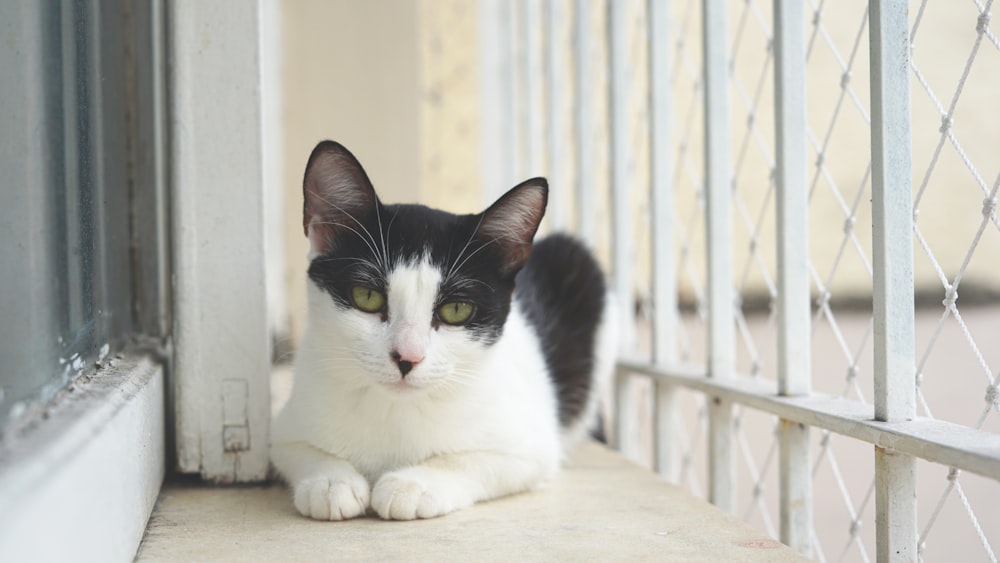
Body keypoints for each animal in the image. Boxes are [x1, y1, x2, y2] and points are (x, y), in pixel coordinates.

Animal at [272, 141, 616, 520]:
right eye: (367, 296)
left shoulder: (532, 447)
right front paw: (331, 482)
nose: (407, 357)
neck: (395, 410)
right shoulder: (285, 429)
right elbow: (296, 447)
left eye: (456, 310)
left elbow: (472, 461)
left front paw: (411, 484)